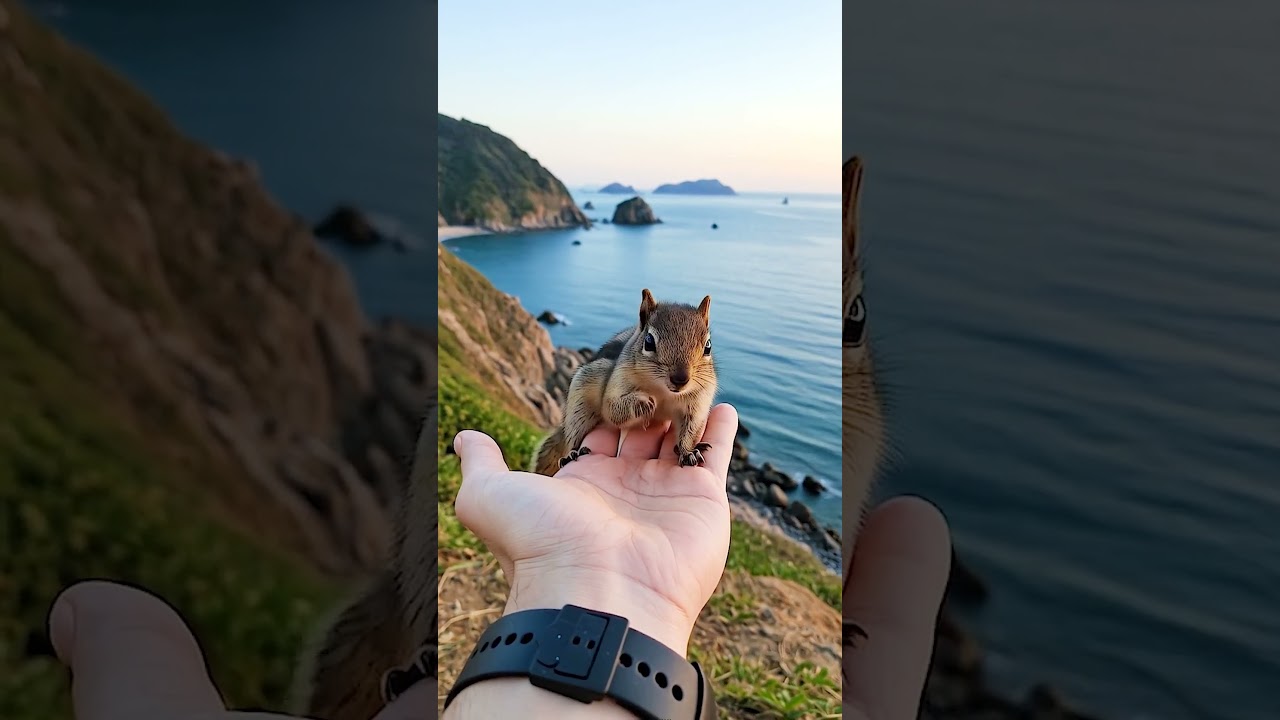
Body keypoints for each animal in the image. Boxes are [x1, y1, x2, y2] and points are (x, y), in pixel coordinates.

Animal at [532, 288, 719, 476]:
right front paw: (642, 402)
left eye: (708, 346)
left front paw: (687, 452)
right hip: (580, 401)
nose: (680, 379)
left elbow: (691, 430)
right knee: (572, 436)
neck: (663, 391)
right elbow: (612, 409)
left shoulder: (698, 402)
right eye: (649, 341)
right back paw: (572, 452)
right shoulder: (618, 380)